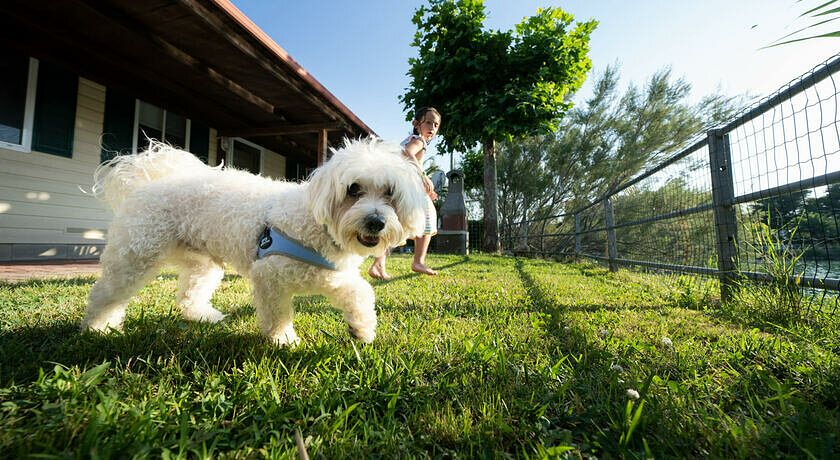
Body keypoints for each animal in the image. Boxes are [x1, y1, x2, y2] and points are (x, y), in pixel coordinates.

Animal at [80, 138, 426, 346]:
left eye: (390, 193)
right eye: (353, 189)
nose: (376, 222)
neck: (313, 224)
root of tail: (148, 182)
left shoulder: (331, 274)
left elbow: (361, 292)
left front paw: (362, 329)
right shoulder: (269, 275)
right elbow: (276, 314)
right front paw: (283, 340)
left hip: (202, 264)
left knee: (189, 294)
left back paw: (201, 315)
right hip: (135, 255)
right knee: (106, 293)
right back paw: (98, 328)